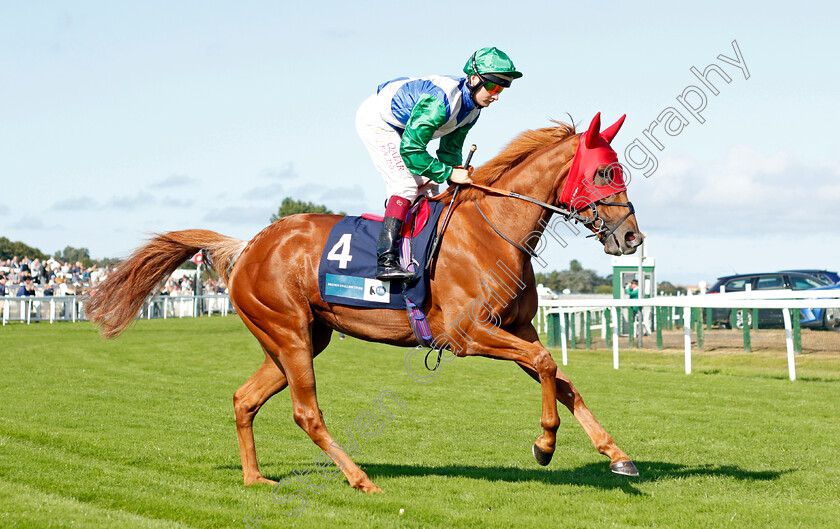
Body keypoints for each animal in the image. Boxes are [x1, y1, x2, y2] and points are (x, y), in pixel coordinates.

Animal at [87, 113, 644, 492]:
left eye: (619, 171)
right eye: (604, 173)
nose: (631, 237)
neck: (493, 232)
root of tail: (249, 246)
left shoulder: (517, 328)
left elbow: (562, 380)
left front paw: (616, 454)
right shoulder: (468, 334)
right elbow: (548, 363)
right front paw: (544, 445)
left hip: (297, 338)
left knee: (245, 399)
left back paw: (254, 478)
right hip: (288, 333)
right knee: (306, 413)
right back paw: (359, 479)